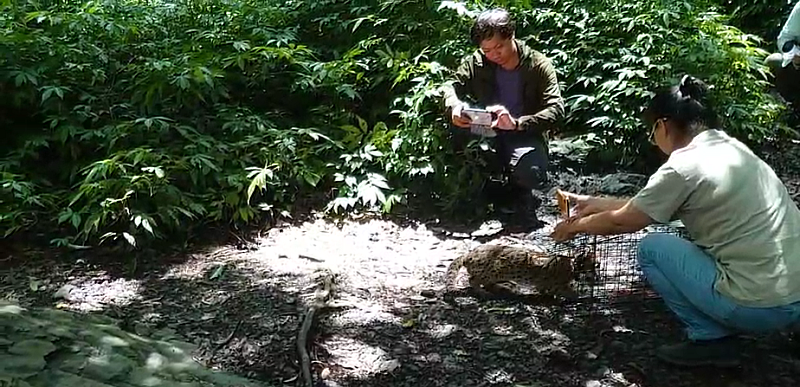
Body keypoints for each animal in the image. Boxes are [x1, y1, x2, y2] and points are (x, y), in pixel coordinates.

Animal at [444, 244, 592, 298]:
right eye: (594, 265)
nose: (596, 275)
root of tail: (469, 254)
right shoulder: (551, 282)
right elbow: (562, 290)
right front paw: (576, 295)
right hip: (494, 269)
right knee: (472, 280)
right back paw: (483, 291)